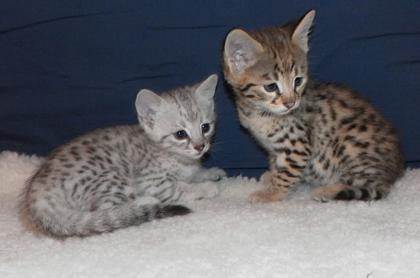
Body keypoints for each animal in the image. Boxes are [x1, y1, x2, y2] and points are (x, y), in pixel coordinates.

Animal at [18, 75, 226, 238]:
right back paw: (145, 202)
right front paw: (207, 187)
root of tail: (36, 197)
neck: (180, 159)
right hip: (112, 177)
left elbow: (194, 175)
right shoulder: (152, 182)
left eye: (205, 127)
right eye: (180, 134)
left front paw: (211, 173)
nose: (200, 146)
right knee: (105, 209)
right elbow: (181, 188)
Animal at [223, 10, 404, 202]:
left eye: (298, 81)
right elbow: (276, 164)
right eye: (271, 87)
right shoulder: (274, 150)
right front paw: (271, 177)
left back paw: (327, 191)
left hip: (351, 147)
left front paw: (272, 193)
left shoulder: (297, 146)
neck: (258, 113)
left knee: (371, 186)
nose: (291, 103)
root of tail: (393, 172)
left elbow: (287, 173)